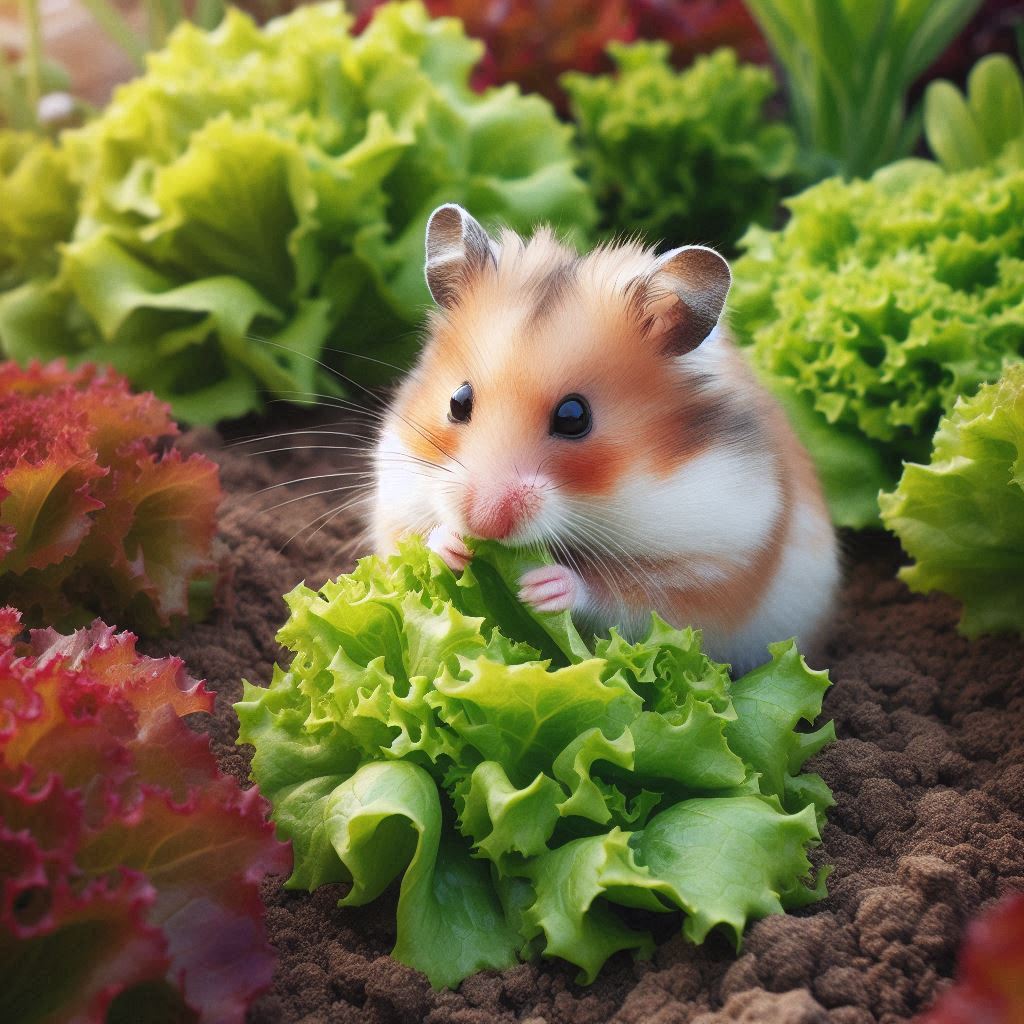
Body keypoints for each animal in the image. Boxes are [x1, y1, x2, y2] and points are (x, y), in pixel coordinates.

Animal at [372, 203, 835, 675]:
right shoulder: (395, 497)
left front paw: (541, 587)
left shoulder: (716, 565)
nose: (482, 523)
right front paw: (450, 546)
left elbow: (629, 599)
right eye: (458, 400)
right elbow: (408, 540)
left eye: (574, 417)